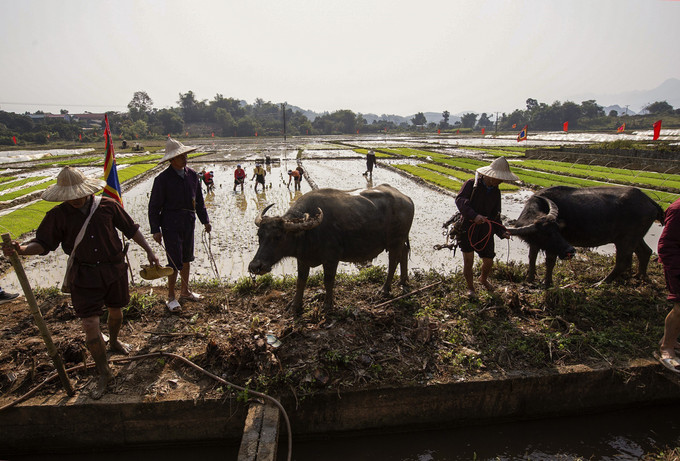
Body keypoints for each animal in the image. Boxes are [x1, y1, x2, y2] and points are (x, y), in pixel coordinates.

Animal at [248, 185, 414, 313]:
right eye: (259, 235)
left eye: (278, 237)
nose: (255, 266)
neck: (308, 233)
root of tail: (407, 198)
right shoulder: (302, 259)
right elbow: (300, 281)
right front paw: (295, 305)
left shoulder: (331, 259)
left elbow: (328, 280)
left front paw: (328, 305)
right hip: (400, 241)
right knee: (404, 253)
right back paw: (403, 281)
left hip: (395, 242)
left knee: (393, 262)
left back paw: (385, 289)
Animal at [507, 186, 665, 287]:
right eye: (544, 235)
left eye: (558, 230)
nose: (570, 251)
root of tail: (649, 200)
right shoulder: (536, 243)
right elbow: (531, 258)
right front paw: (529, 279)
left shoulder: (553, 248)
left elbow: (549, 262)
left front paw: (547, 283)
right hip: (635, 237)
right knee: (645, 252)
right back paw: (640, 277)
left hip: (626, 240)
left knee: (622, 262)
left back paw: (600, 283)